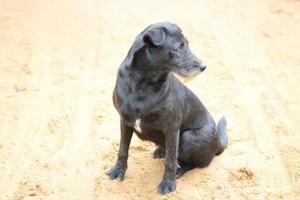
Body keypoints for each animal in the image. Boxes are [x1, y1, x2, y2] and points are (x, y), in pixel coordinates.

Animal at [105, 22, 227, 195]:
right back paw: (160, 150)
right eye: (179, 46)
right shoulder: (125, 120)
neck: (144, 83)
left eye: (186, 44)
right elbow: (122, 150)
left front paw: (168, 184)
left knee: (191, 162)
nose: (204, 66)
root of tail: (218, 144)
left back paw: (179, 170)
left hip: (190, 138)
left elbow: (170, 160)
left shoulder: (172, 128)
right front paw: (117, 172)